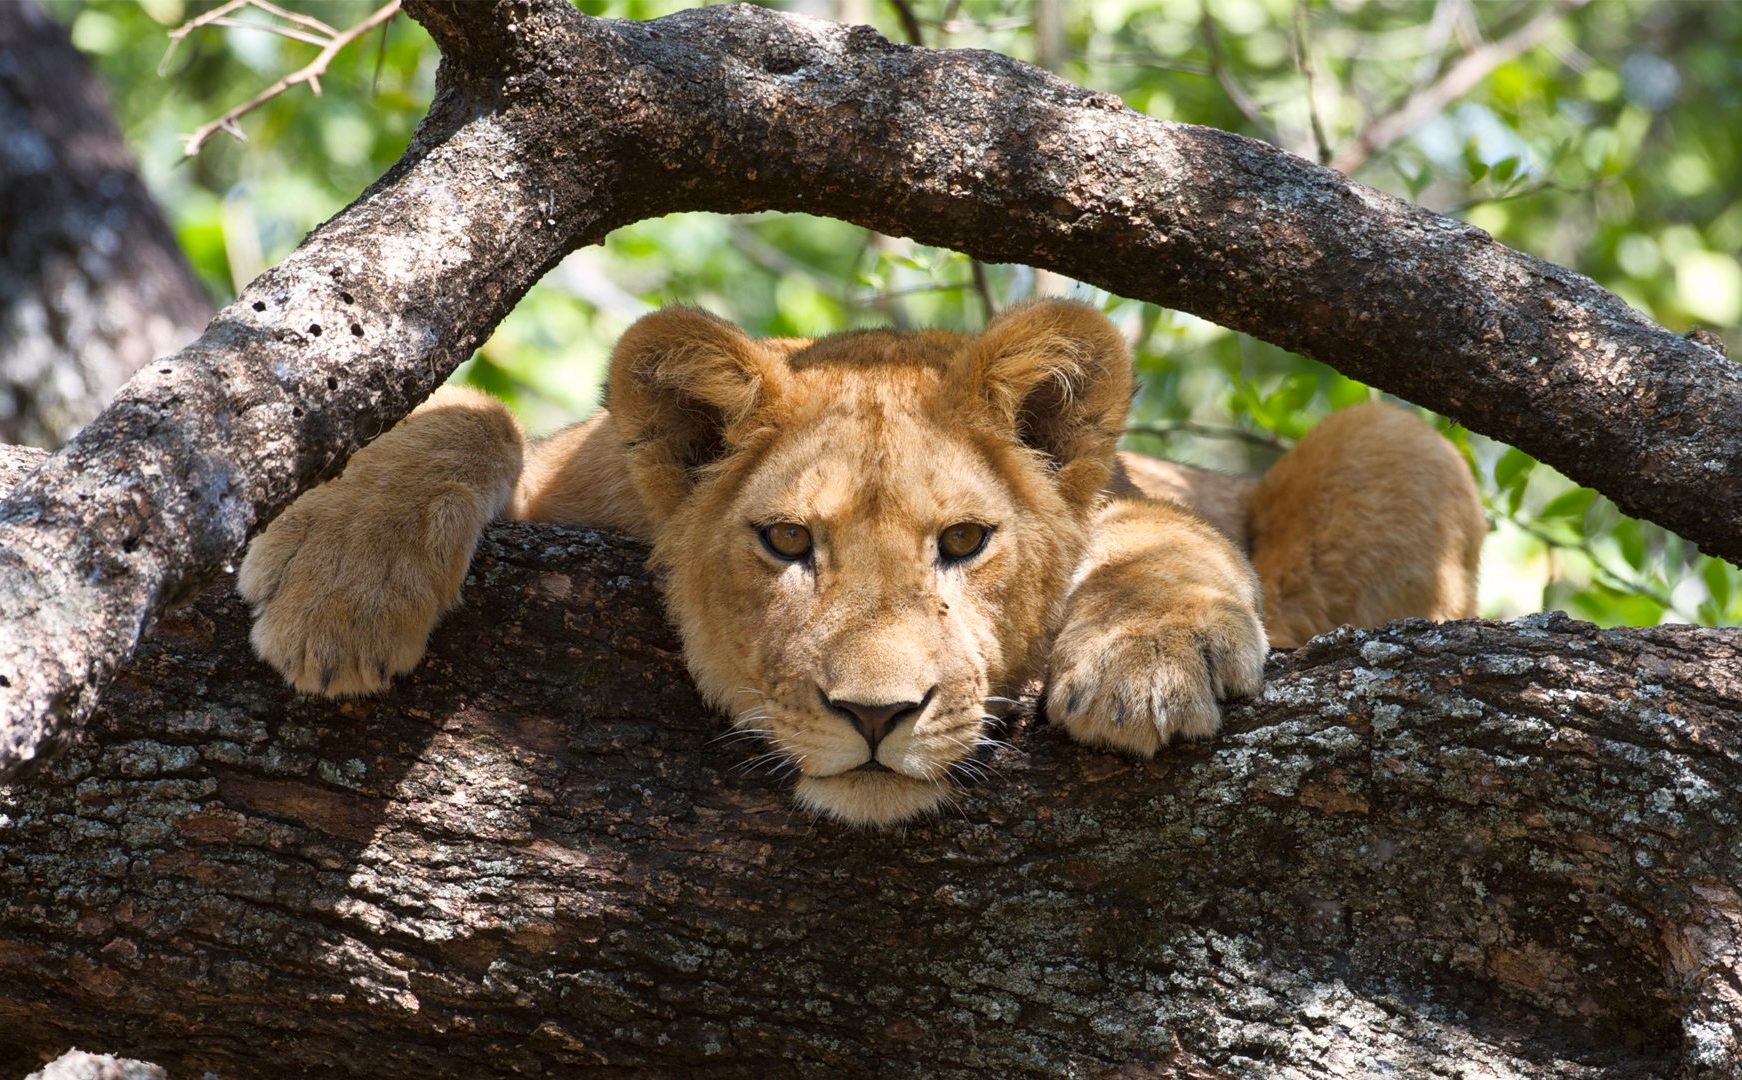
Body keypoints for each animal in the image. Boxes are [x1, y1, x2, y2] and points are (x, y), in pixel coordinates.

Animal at [235, 299, 1484, 822]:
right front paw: (339, 587)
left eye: (965, 544)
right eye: (787, 542)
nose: (876, 717)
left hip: (1399, 441)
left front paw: (1144, 663)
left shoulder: (1136, 504)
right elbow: (471, 413)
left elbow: (1160, 539)